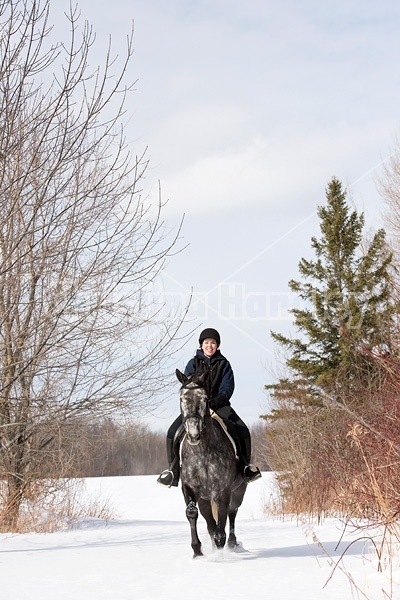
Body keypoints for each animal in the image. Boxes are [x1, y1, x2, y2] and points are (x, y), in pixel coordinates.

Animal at [177, 368, 248, 560]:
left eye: (205, 399)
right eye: (181, 398)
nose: (193, 434)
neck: (202, 452)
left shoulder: (223, 491)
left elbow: (221, 524)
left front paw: (219, 554)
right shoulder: (189, 488)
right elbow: (192, 513)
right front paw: (197, 551)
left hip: (238, 490)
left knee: (232, 513)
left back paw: (232, 544)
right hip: (204, 499)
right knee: (210, 522)